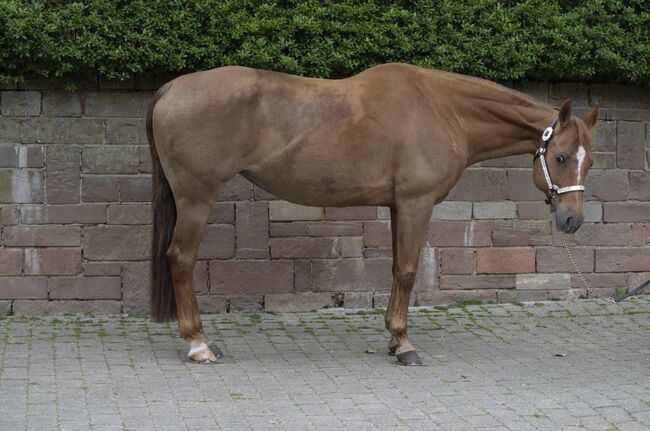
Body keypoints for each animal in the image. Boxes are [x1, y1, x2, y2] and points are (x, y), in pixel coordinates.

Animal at [148, 62, 596, 366]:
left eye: (588, 161)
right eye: (559, 157)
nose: (572, 221)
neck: (442, 109)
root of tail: (172, 87)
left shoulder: (399, 205)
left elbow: (397, 267)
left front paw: (394, 340)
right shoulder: (417, 202)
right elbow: (408, 271)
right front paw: (405, 344)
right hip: (197, 198)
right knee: (181, 259)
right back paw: (199, 345)